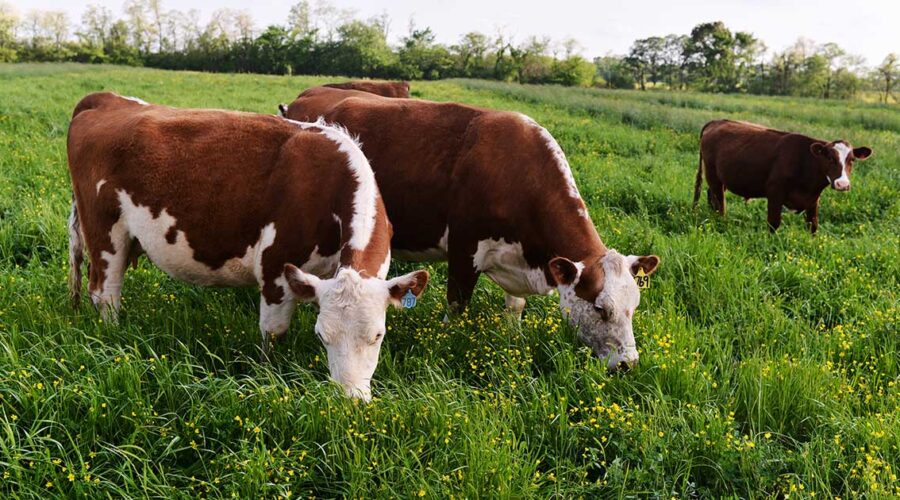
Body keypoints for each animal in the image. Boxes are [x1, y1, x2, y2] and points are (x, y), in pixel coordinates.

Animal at [66, 92, 428, 400]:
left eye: (378, 335)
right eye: (322, 336)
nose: (349, 400)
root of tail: (104, 99)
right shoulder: (275, 265)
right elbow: (273, 331)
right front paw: (269, 374)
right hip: (105, 232)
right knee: (105, 293)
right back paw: (114, 337)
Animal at [696, 118, 872, 232]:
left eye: (852, 160)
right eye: (830, 158)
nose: (843, 184)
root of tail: (717, 121)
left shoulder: (813, 199)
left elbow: (813, 225)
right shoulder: (775, 192)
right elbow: (773, 223)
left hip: (722, 178)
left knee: (711, 196)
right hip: (712, 174)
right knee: (720, 203)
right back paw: (720, 223)